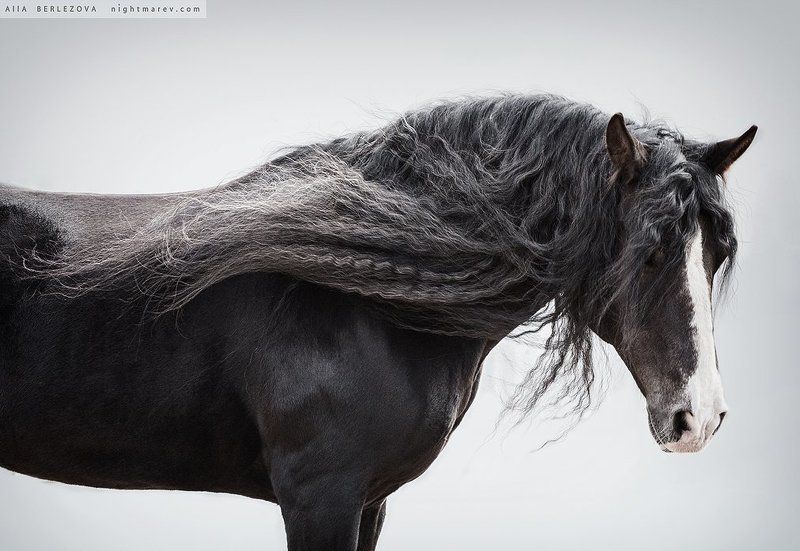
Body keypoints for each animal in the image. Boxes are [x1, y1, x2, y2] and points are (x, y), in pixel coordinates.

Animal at [0, 94, 756, 550]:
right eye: (649, 252)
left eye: (717, 251)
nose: (699, 416)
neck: (364, 290)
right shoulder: (320, 499)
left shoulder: (369, 501)